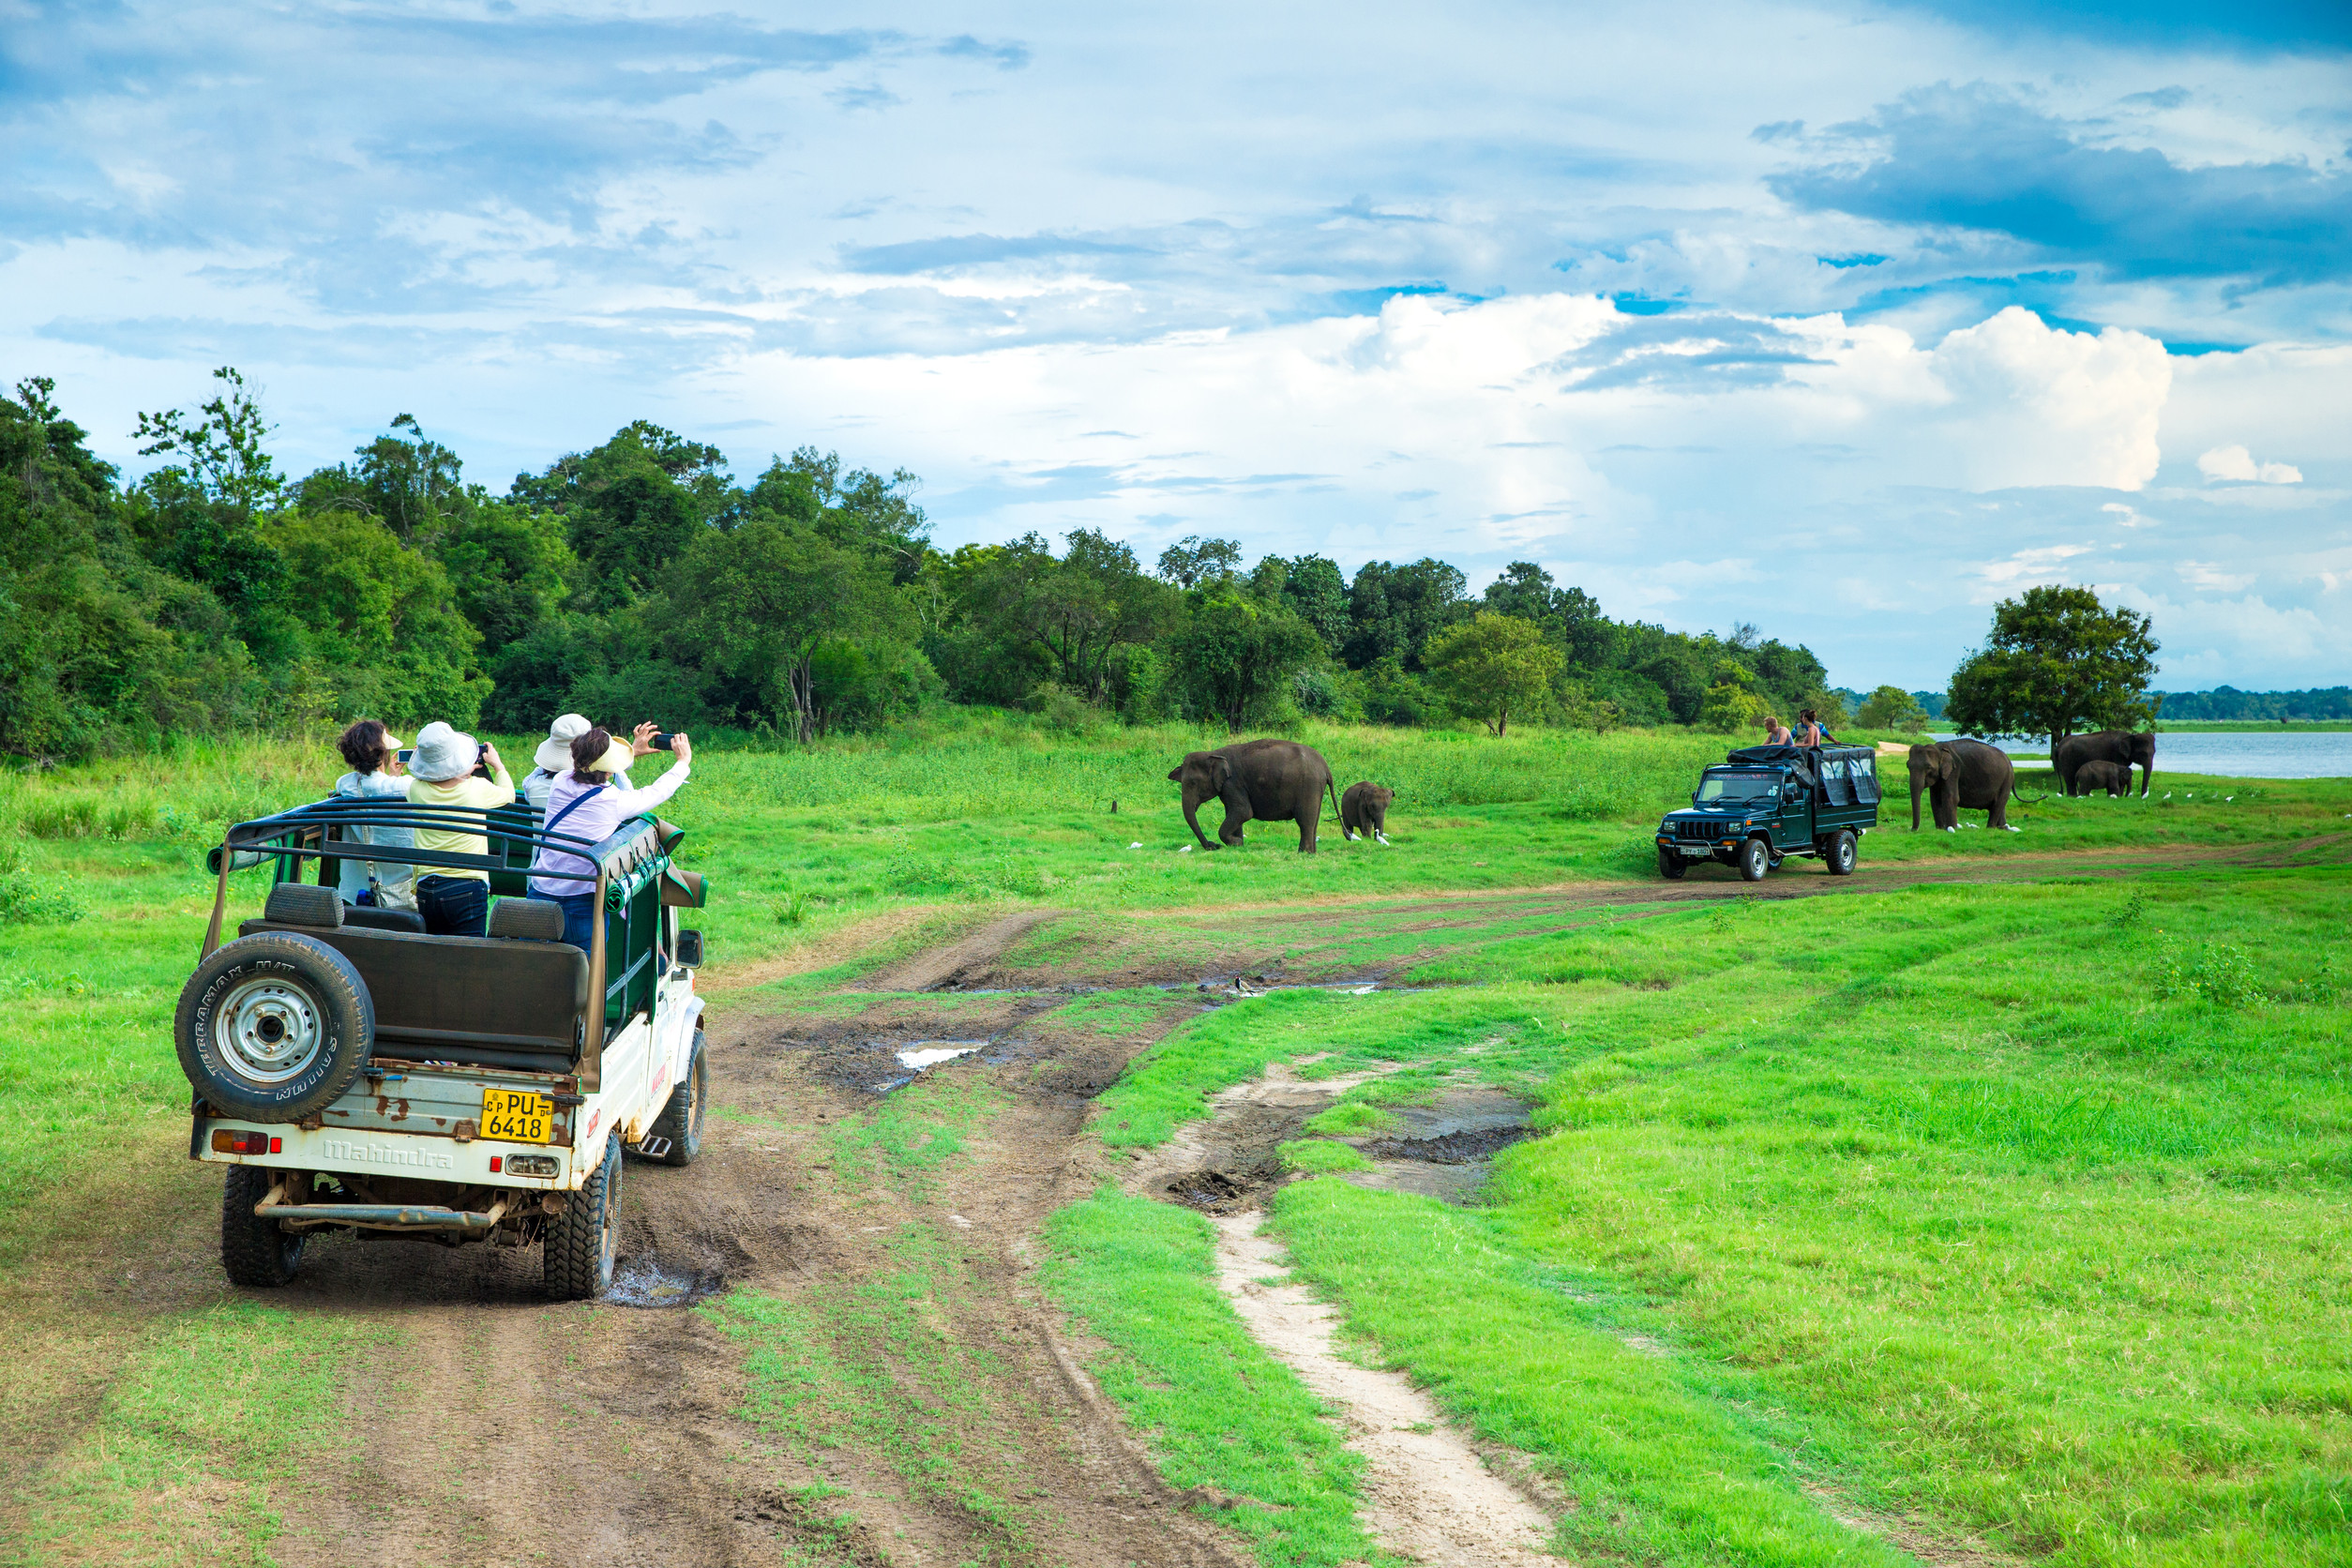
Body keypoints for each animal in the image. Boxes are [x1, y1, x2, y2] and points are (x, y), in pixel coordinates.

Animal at [1161, 738, 1335, 851]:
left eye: (1192, 783)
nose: (1213, 846)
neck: (1213, 753)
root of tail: (1325, 766)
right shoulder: (1228, 788)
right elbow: (1233, 812)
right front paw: (1238, 846)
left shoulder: (1232, 783)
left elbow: (1243, 811)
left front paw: (1236, 843)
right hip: (1315, 788)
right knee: (1313, 820)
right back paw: (1311, 853)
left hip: (1308, 786)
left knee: (1304, 820)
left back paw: (1302, 853)